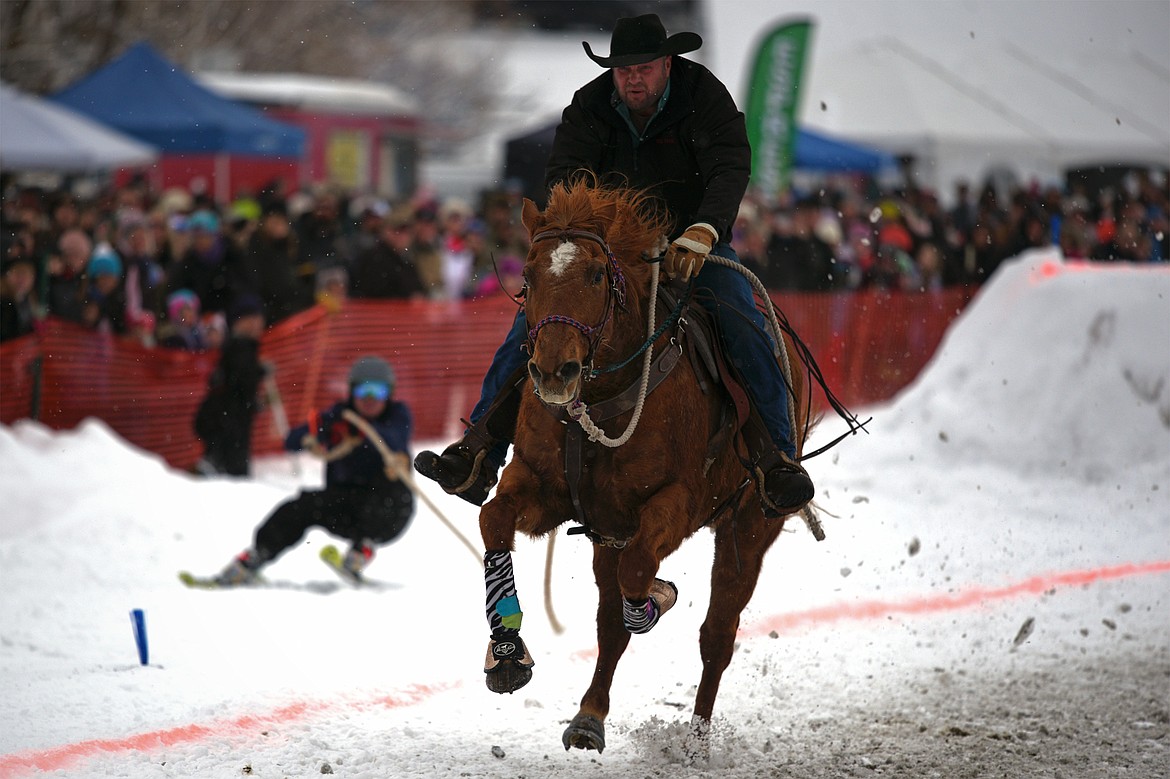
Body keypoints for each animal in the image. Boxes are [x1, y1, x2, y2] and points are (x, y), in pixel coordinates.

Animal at [475, 178, 814, 748]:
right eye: (527, 275)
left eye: (596, 273)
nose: (554, 371)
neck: (596, 403)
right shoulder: (541, 486)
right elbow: (493, 519)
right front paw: (506, 652)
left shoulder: (675, 503)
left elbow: (638, 572)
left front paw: (657, 597)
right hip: (605, 531)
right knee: (610, 623)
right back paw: (589, 715)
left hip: (749, 523)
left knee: (716, 635)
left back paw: (695, 741)